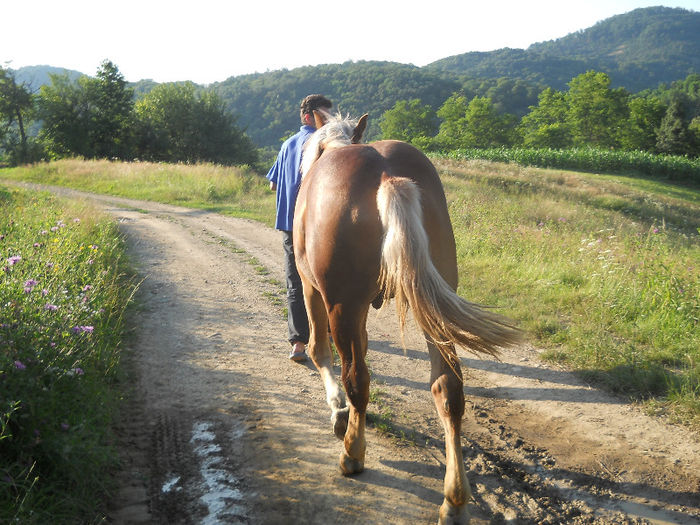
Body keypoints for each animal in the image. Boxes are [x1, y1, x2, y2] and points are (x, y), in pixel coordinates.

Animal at [292, 111, 520, 524]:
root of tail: (386, 175)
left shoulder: (313, 289)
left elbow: (320, 351)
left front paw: (338, 412)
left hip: (343, 305)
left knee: (357, 378)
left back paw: (352, 454)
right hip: (432, 305)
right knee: (448, 388)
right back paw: (454, 501)